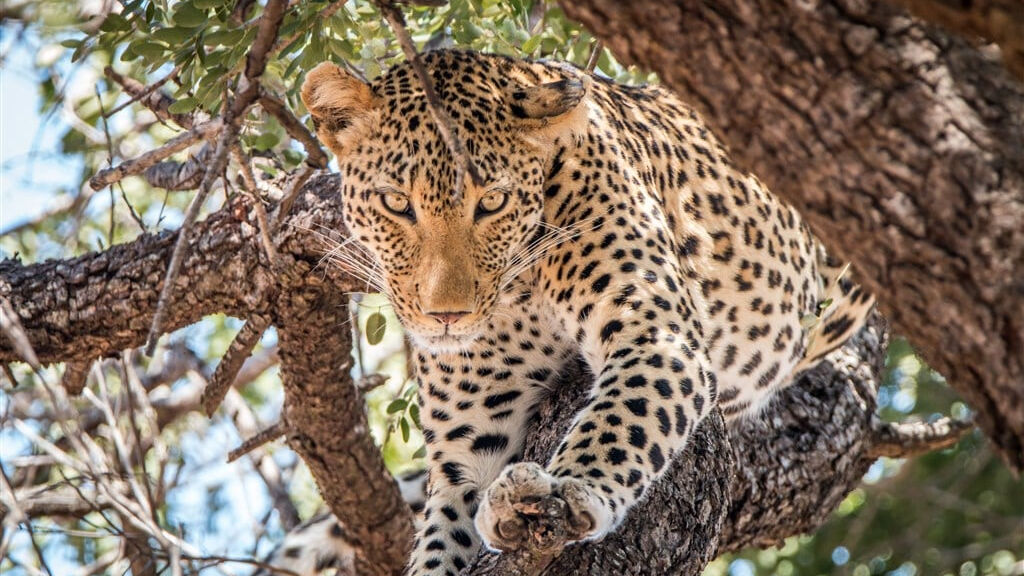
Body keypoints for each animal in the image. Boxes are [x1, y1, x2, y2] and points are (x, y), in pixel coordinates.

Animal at [270, 50, 872, 573]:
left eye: (493, 202)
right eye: (396, 203)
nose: (446, 317)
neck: (518, 292)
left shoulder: (657, 334)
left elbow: (624, 418)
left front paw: (568, 489)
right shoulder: (470, 445)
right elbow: (440, 541)